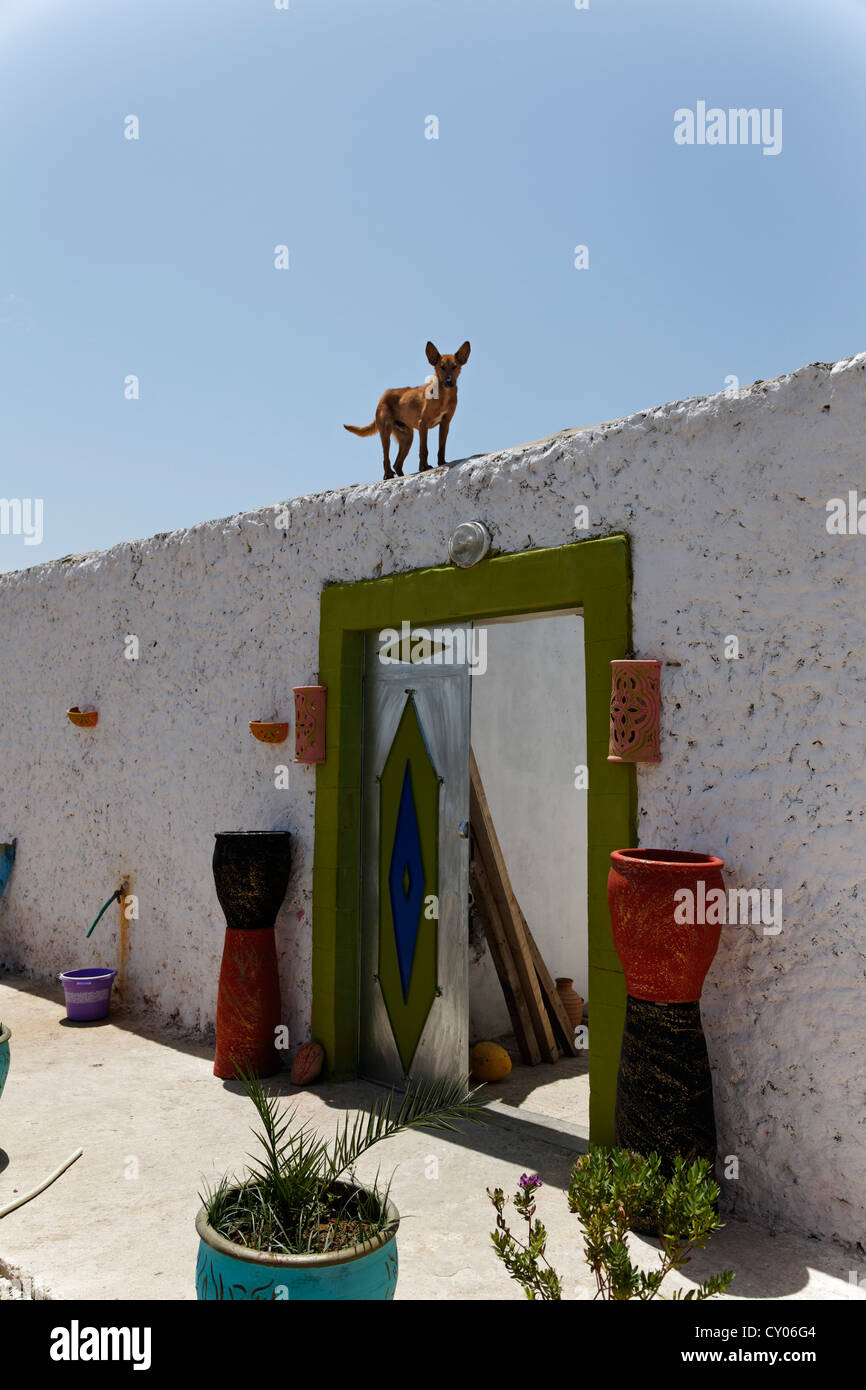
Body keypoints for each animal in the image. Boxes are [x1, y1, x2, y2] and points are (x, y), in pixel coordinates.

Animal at [343, 339, 469, 480]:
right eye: (441, 367)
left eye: (454, 366)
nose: (448, 382)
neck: (444, 396)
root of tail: (383, 396)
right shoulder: (423, 424)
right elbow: (423, 449)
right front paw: (424, 467)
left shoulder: (445, 423)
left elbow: (441, 447)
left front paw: (441, 462)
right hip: (386, 431)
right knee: (386, 458)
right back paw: (387, 474)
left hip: (407, 437)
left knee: (397, 464)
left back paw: (400, 475)